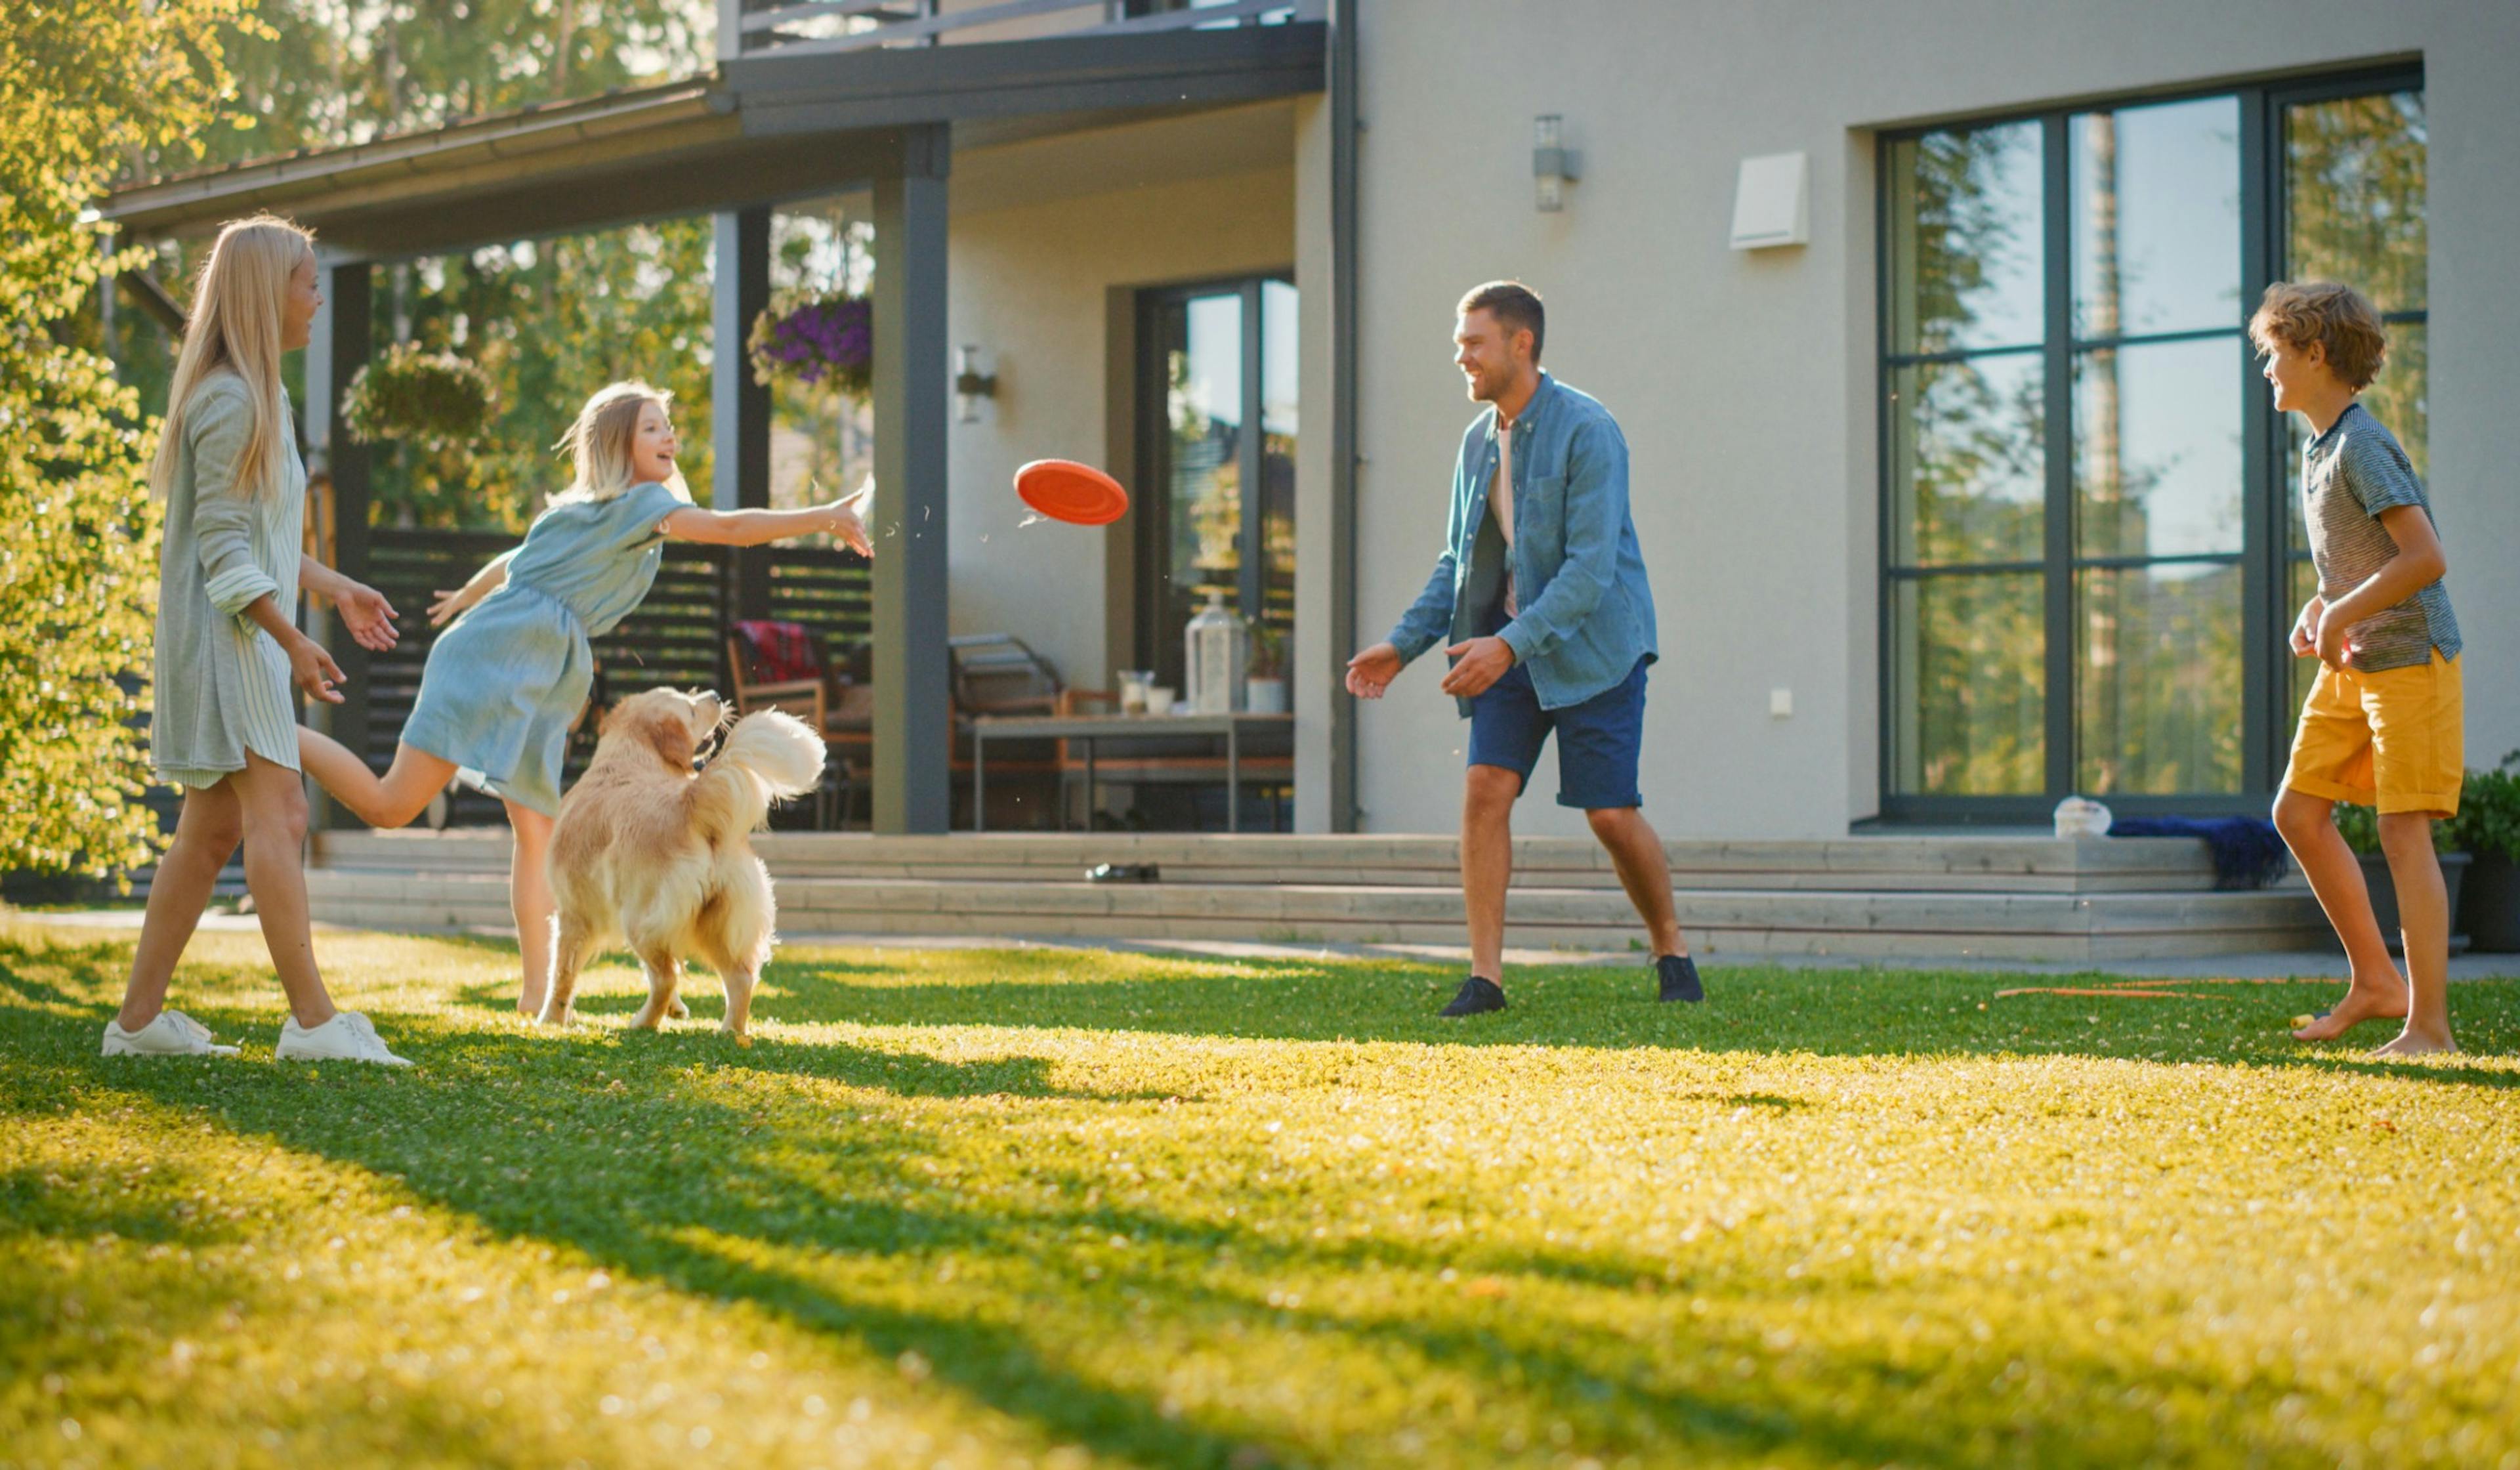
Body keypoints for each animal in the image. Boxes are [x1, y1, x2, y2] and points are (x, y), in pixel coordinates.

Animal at [541, 686, 826, 1038]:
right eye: (689, 705)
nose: (716, 694)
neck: (630, 757)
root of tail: (690, 802)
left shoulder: (573, 914)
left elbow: (561, 975)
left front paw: (551, 1019)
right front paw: (677, 1010)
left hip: (640, 920)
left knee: (666, 976)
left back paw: (642, 1023)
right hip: (717, 922)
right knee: (740, 977)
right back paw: (730, 1032)